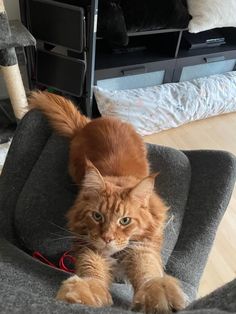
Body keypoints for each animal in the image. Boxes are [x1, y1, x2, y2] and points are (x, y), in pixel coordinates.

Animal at [29, 91, 185, 314]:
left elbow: (146, 268)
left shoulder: (142, 244)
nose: (107, 238)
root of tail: (92, 122)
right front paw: (86, 290)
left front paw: (158, 291)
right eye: (97, 216)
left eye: (125, 220)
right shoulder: (89, 245)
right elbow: (92, 270)